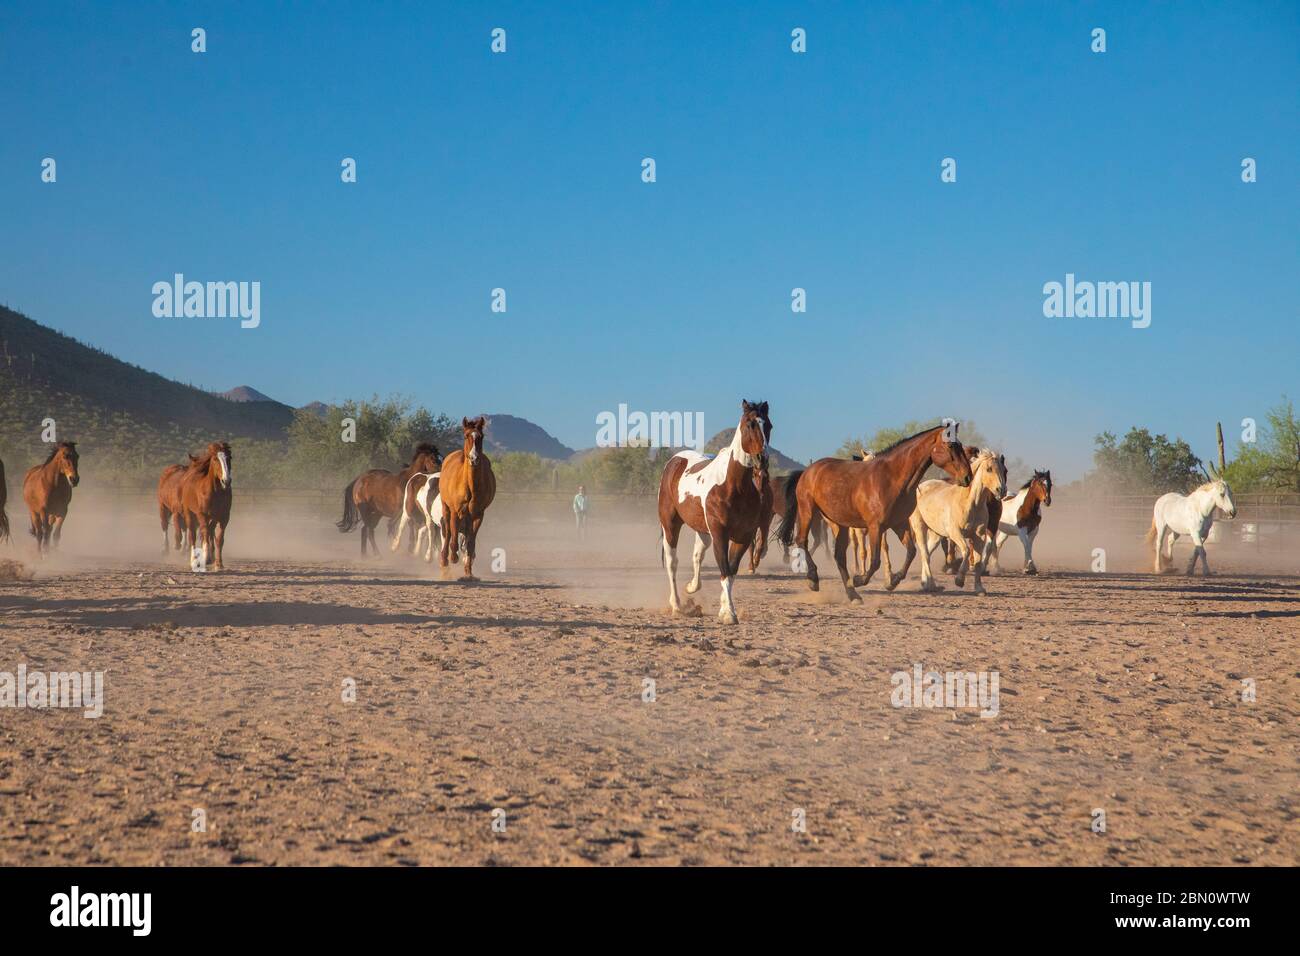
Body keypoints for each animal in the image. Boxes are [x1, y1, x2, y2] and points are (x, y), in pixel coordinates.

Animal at [179, 442, 232, 572]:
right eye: (215, 459)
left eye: (229, 458)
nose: (226, 481)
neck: (216, 492)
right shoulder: (202, 515)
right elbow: (204, 536)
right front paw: (204, 559)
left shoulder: (224, 517)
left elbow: (219, 540)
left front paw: (219, 564)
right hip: (190, 515)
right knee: (193, 536)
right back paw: (194, 560)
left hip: (212, 519)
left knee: (209, 533)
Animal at [439, 416, 493, 580]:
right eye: (466, 435)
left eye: (481, 437)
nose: (474, 459)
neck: (469, 486)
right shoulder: (455, 512)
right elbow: (453, 536)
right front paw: (453, 557)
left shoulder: (478, 515)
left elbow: (470, 543)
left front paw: (468, 571)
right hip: (446, 508)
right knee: (448, 533)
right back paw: (445, 560)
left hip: (468, 517)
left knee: (467, 537)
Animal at [655, 398, 764, 629]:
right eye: (749, 424)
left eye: (768, 424)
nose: (762, 458)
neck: (734, 485)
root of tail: (674, 461)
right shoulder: (720, 534)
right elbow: (724, 571)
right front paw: (729, 613)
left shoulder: (742, 537)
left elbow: (731, 572)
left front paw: (724, 609)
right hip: (670, 525)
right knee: (672, 562)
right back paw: (677, 605)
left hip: (703, 531)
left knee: (697, 555)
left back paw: (691, 588)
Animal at [774, 424, 972, 600]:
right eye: (950, 445)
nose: (967, 477)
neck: (891, 478)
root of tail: (808, 471)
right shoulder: (875, 526)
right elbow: (875, 560)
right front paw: (861, 579)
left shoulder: (898, 524)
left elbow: (911, 552)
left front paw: (892, 581)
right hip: (807, 511)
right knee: (802, 540)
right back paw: (814, 579)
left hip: (839, 523)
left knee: (839, 556)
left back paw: (852, 595)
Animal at [904, 447, 1003, 590]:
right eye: (989, 469)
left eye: (1003, 469)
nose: (1001, 490)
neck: (970, 504)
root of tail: (920, 487)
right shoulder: (955, 533)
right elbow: (966, 551)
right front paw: (959, 580)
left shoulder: (979, 536)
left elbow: (978, 562)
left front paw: (979, 588)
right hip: (920, 527)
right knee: (925, 554)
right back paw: (931, 584)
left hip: (936, 534)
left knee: (927, 553)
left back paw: (925, 583)